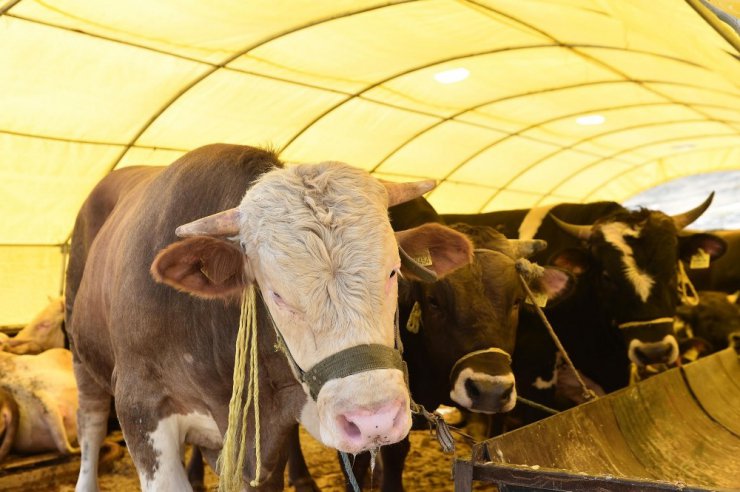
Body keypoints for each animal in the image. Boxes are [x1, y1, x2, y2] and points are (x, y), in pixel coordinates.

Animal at [66, 144, 476, 490]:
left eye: (393, 272)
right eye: (275, 293)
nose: (372, 419)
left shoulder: (267, 439)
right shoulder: (140, 406)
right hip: (82, 358)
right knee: (90, 425)